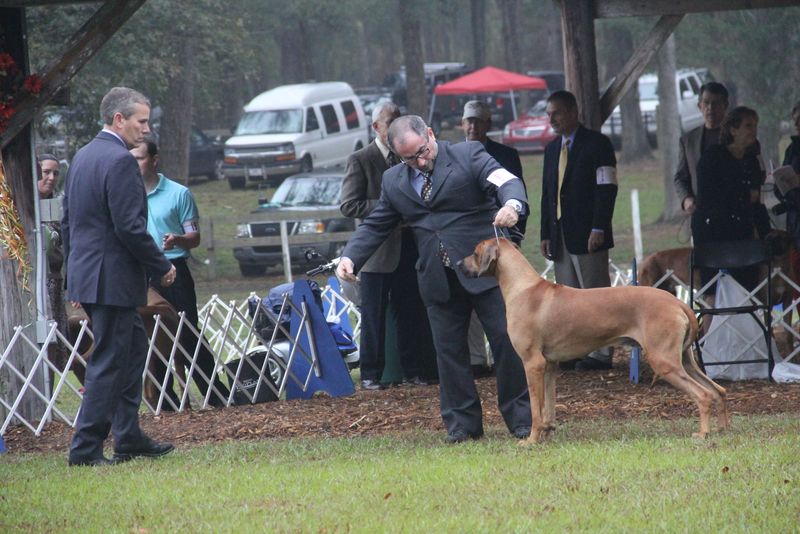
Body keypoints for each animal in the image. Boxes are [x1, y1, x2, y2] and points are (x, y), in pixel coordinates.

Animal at [460, 239, 728, 444]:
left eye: (474, 252)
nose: (458, 264)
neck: (523, 288)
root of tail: (679, 303)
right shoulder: (550, 365)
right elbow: (548, 407)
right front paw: (547, 433)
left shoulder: (532, 363)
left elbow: (536, 410)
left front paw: (531, 440)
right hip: (684, 359)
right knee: (719, 390)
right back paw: (722, 428)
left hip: (664, 362)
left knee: (704, 394)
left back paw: (703, 433)